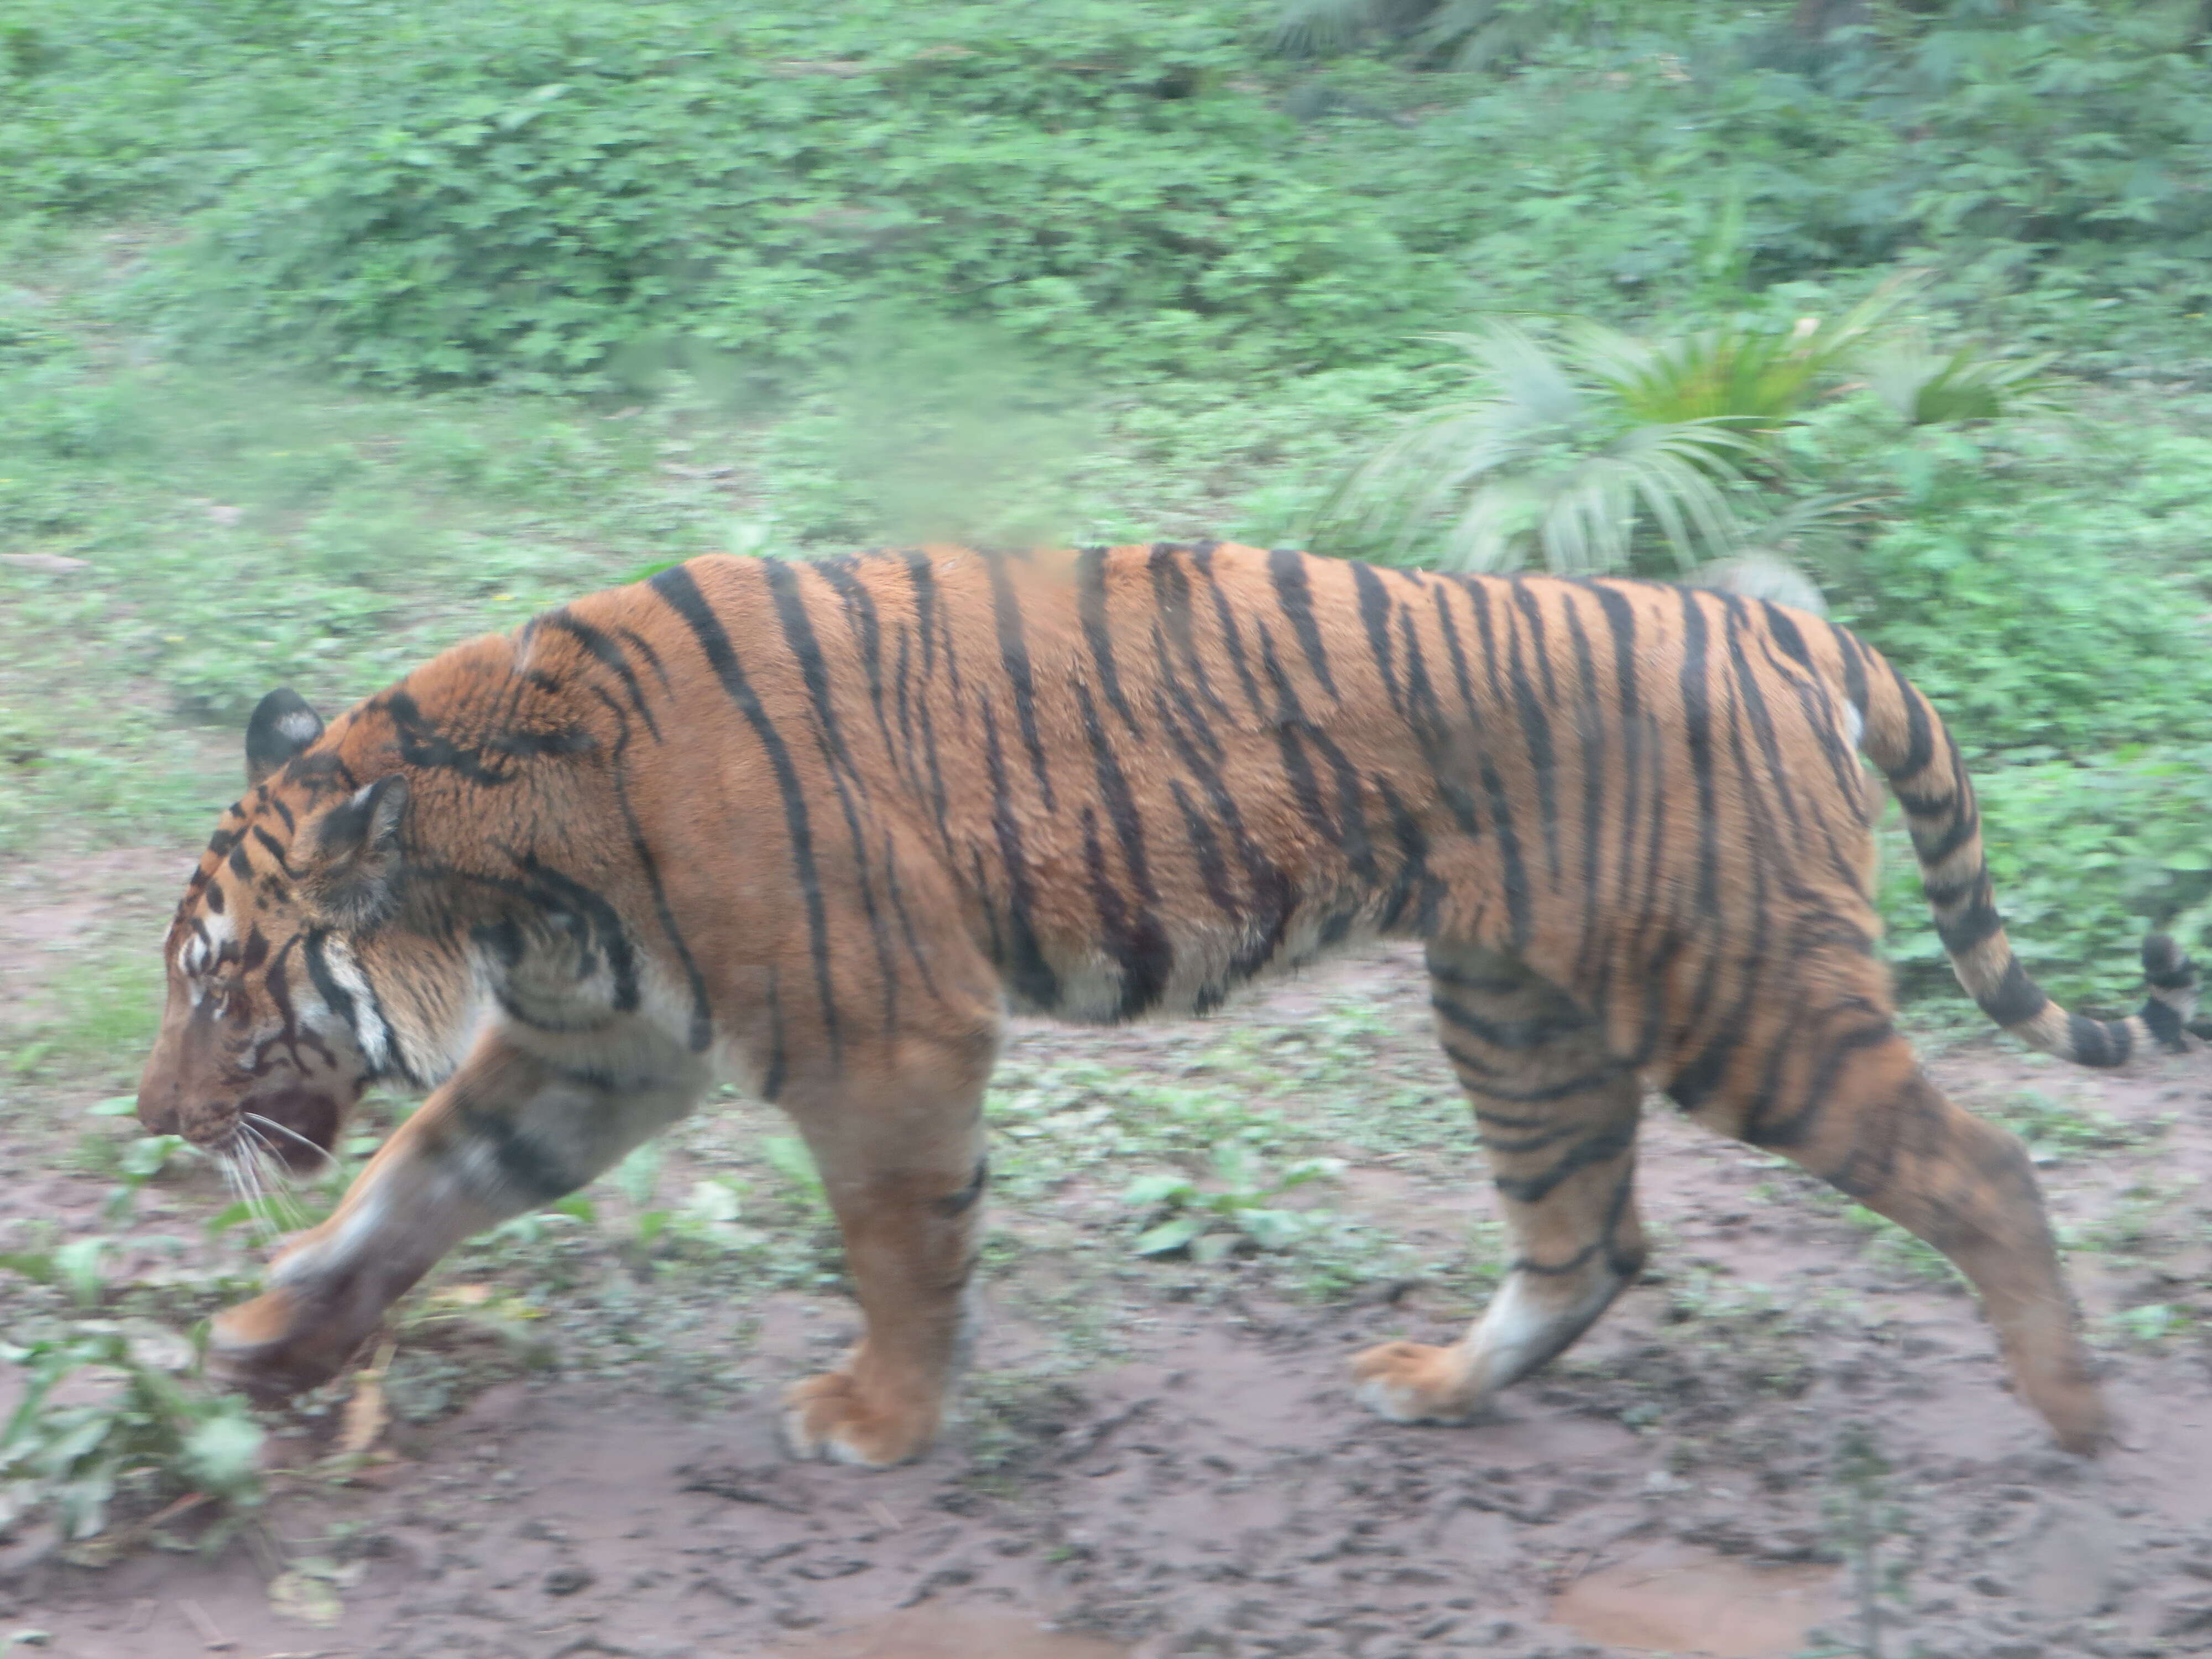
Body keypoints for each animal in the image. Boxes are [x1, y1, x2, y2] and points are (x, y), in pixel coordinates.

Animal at [138, 542, 2194, 1469]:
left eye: (221, 985)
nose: (151, 1126)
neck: (511, 860)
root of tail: (1762, 612)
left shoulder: (886, 1038)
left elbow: (899, 1249)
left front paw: (877, 1419)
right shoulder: (594, 1049)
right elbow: (412, 1187)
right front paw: (271, 1342)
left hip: (1738, 997)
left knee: (1982, 1167)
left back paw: (2078, 1412)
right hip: (1519, 1012)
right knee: (1588, 1238)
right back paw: (1437, 1386)